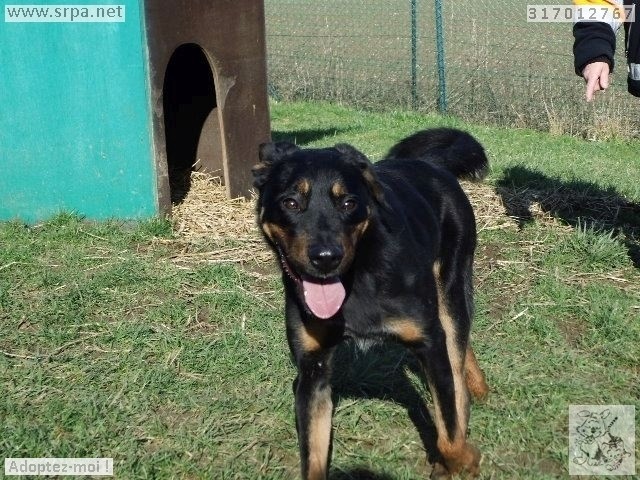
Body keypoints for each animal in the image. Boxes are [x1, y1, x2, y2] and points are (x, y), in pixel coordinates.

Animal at [254, 127, 490, 480]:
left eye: (349, 203)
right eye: (291, 202)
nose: (326, 257)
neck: (356, 278)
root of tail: (429, 163)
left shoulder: (429, 341)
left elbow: (448, 427)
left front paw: (463, 458)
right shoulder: (313, 369)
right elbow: (313, 456)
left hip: (452, 282)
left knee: (457, 350)